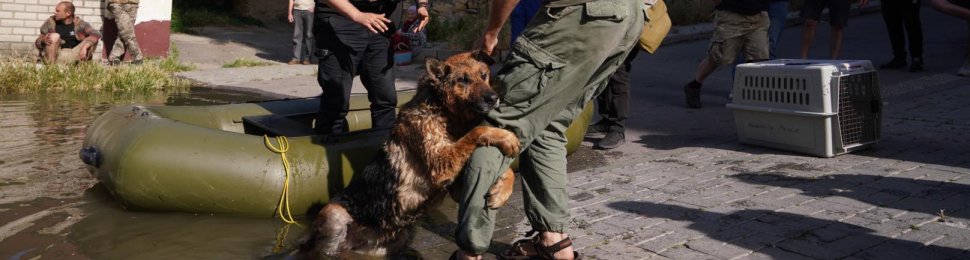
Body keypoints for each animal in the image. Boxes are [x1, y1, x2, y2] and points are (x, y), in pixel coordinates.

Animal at [298, 50, 520, 258]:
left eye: (483, 75)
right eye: (463, 80)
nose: (494, 98)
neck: (443, 111)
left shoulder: (456, 185)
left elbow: (508, 171)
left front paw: (501, 191)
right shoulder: (441, 163)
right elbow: (476, 131)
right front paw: (505, 136)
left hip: (394, 240)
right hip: (335, 214)